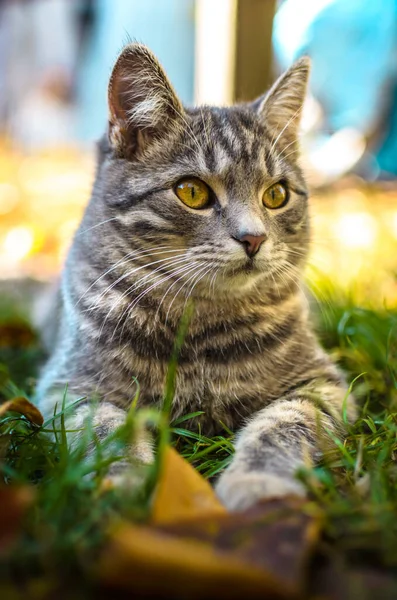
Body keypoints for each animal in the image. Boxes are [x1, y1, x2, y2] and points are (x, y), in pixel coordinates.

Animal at [35, 43, 354, 510]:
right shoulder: (71, 387)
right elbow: (108, 430)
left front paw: (257, 481)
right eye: (192, 192)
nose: (254, 238)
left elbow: (283, 424)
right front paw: (124, 480)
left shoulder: (321, 385)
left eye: (276, 195)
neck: (200, 328)